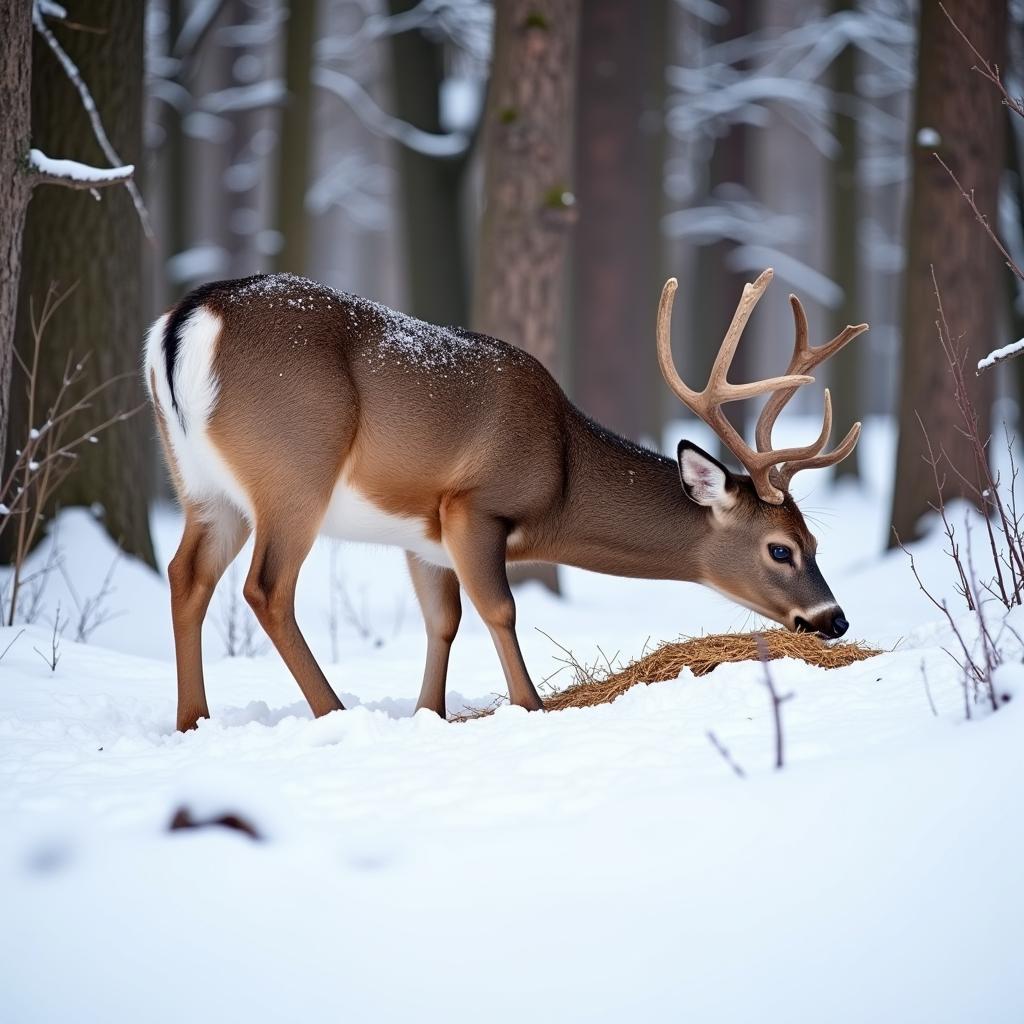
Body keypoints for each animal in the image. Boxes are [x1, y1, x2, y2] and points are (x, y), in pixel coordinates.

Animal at [144, 264, 864, 729]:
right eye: (780, 549)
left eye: (816, 540)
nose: (835, 619)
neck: (561, 476)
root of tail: (187, 320)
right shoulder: (473, 505)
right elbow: (500, 609)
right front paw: (531, 707)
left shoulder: (423, 539)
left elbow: (443, 621)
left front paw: (429, 712)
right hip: (294, 469)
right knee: (266, 588)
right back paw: (333, 713)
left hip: (202, 486)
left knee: (186, 575)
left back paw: (191, 720)